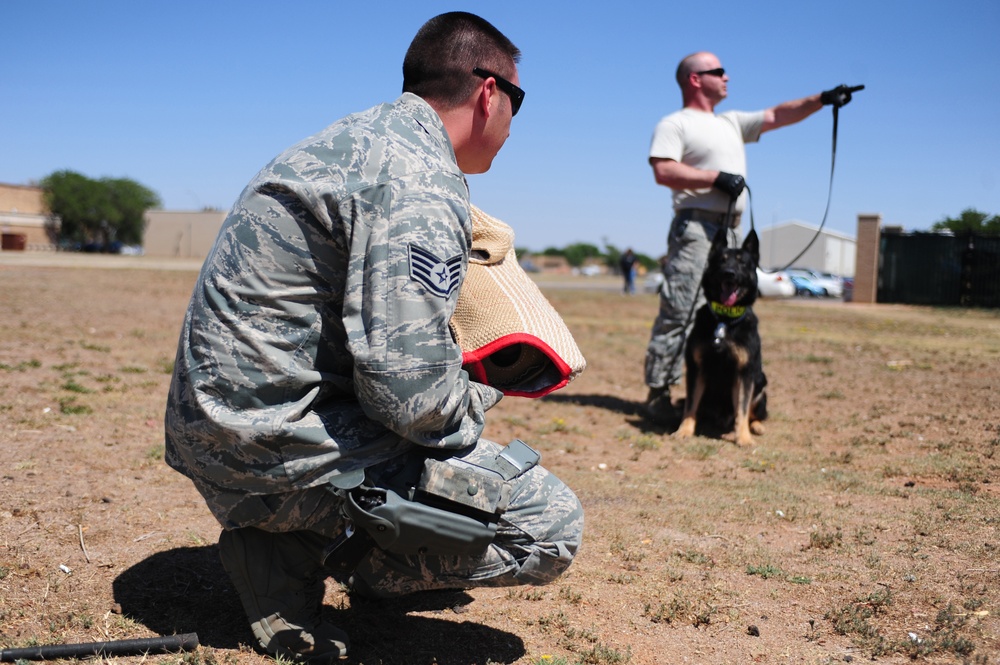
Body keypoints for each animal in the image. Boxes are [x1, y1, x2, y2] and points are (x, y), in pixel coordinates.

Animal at [676, 228, 768, 446]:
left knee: (751, 414)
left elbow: (742, 409)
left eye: (742, 263)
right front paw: (684, 430)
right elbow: (690, 406)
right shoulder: (696, 368)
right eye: (721, 261)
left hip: (761, 384)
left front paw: (743, 438)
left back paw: (754, 427)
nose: (729, 273)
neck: (725, 319)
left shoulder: (745, 373)